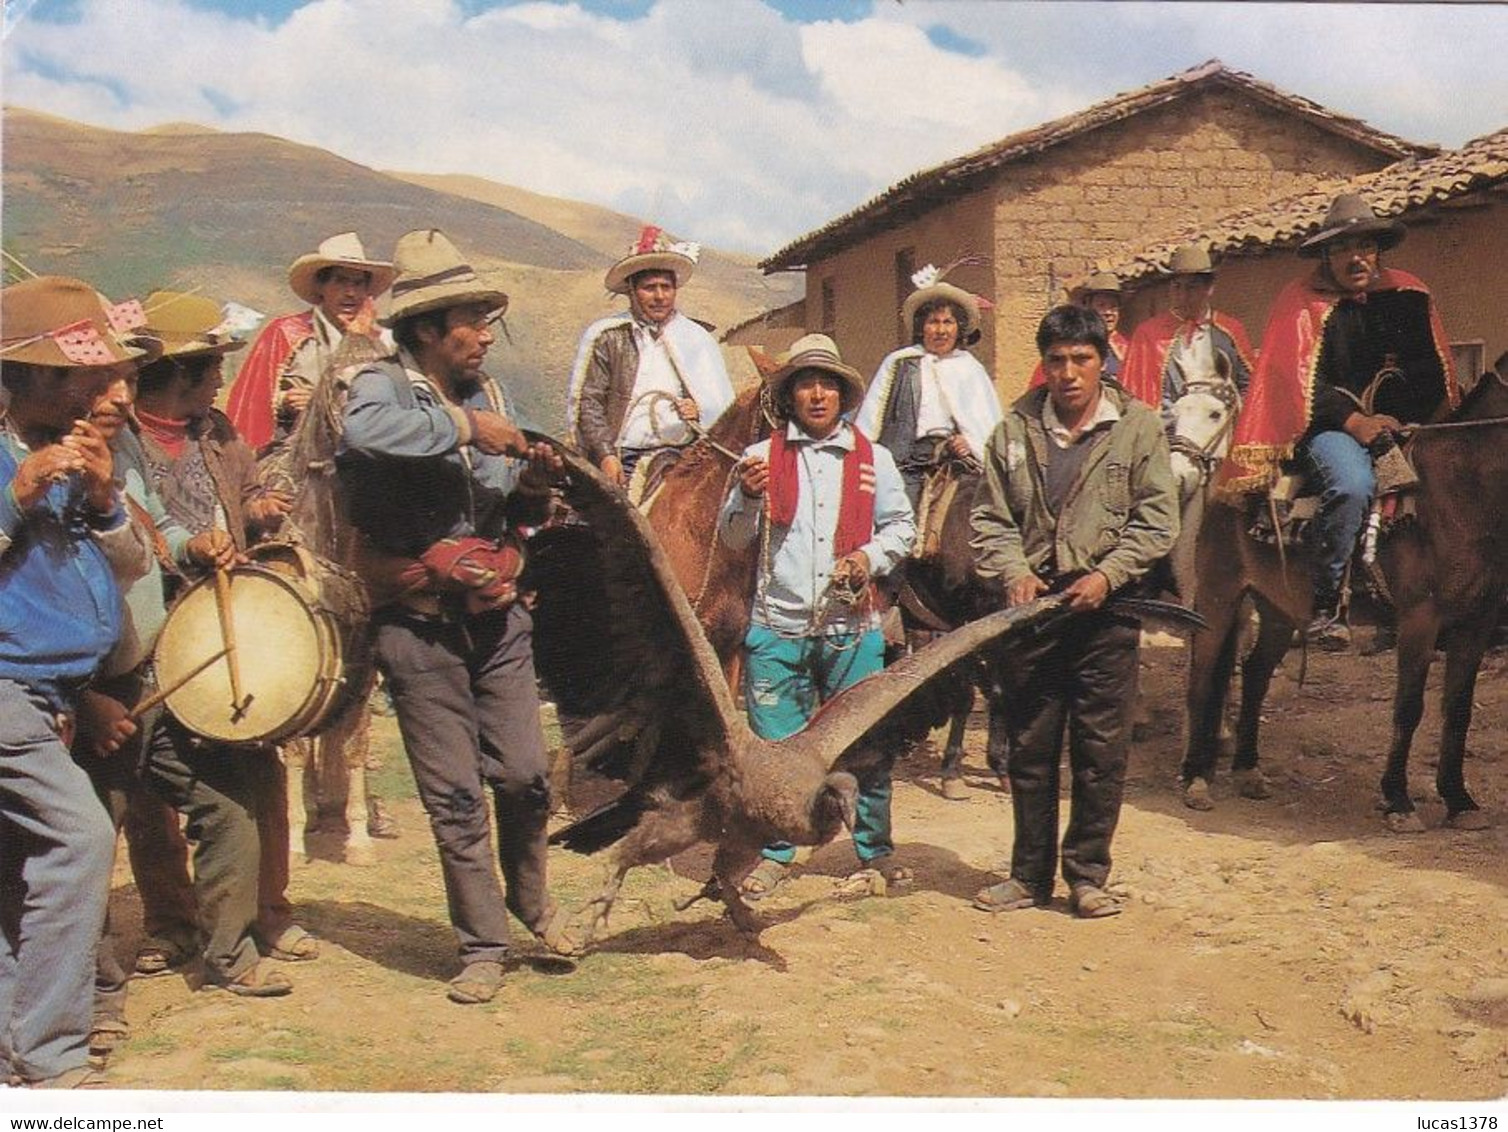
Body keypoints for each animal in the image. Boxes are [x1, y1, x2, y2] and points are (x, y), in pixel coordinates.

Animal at [1182, 372, 1508, 826]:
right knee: (1202, 676)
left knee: (1255, 673)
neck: (1461, 491)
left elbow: (1458, 711)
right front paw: (1398, 800)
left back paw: (1248, 770)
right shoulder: (1419, 621)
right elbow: (1409, 709)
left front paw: (1459, 800)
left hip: (1279, 607)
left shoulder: (1475, 625)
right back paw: (1196, 778)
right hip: (1219, 591)